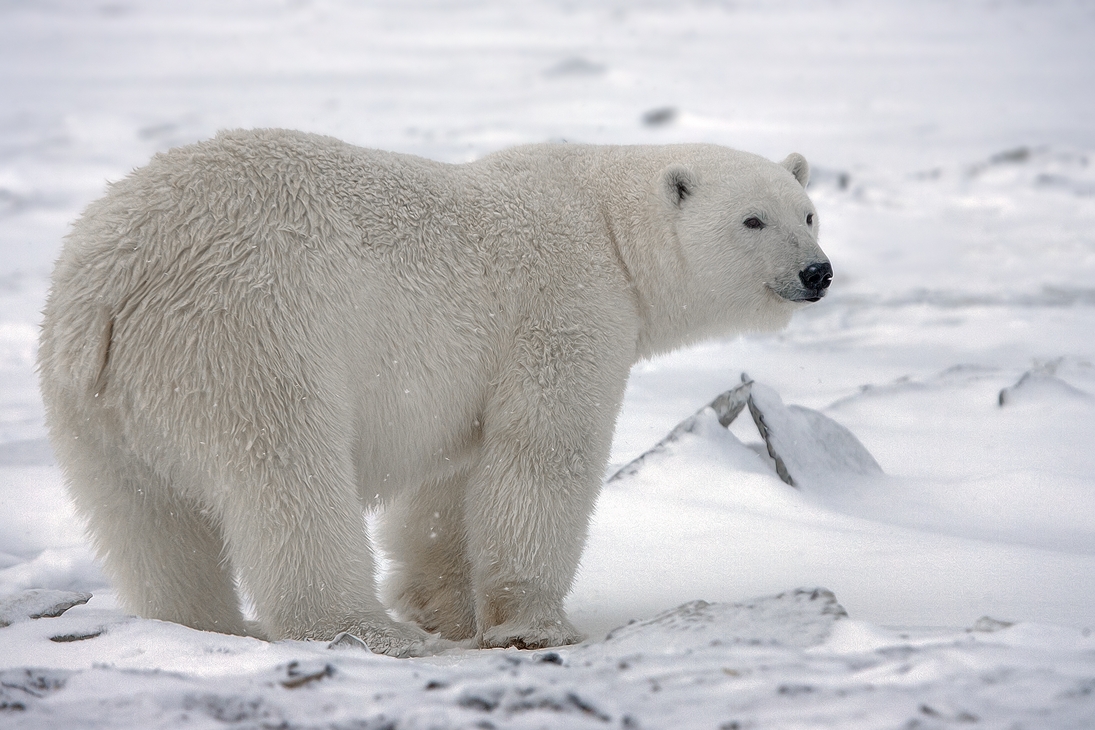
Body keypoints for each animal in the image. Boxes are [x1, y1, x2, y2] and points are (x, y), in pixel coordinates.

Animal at [40, 129, 827, 656]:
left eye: (808, 211)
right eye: (752, 220)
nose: (816, 272)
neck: (606, 224)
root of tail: (112, 285)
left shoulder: (465, 375)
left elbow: (446, 490)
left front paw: (441, 610)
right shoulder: (563, 307)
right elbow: (542, 456)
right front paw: (536, 626)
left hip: (92, 403)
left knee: (146, 521)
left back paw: (201, 625)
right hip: (250, 336)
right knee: (287, 482)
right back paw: (358, 629)